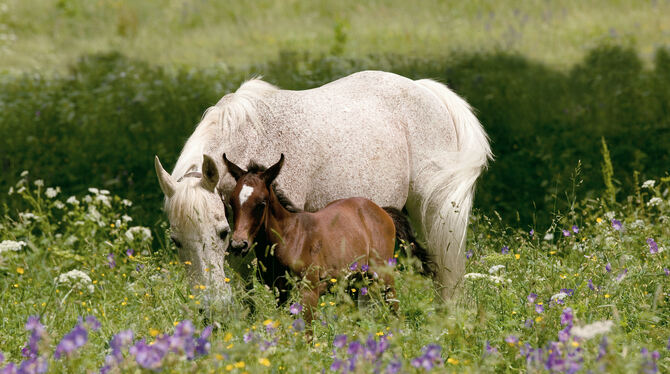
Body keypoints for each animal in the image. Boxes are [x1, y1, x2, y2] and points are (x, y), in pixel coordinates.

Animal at [158, 69, 494, 304]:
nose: (211, 306)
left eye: (221, 233)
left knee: (444, 277)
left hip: (436, 215)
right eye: (176, 240)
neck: (247, 139)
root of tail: (426, 88)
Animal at [223, 153, 400, 326]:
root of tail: (382, 211)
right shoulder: (281, 292)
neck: (290, 237)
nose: (238, 244)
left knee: (394, 306)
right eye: (231, 202)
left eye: (261, 203)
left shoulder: (309, 291)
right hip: (353, 282)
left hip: (383, 275)